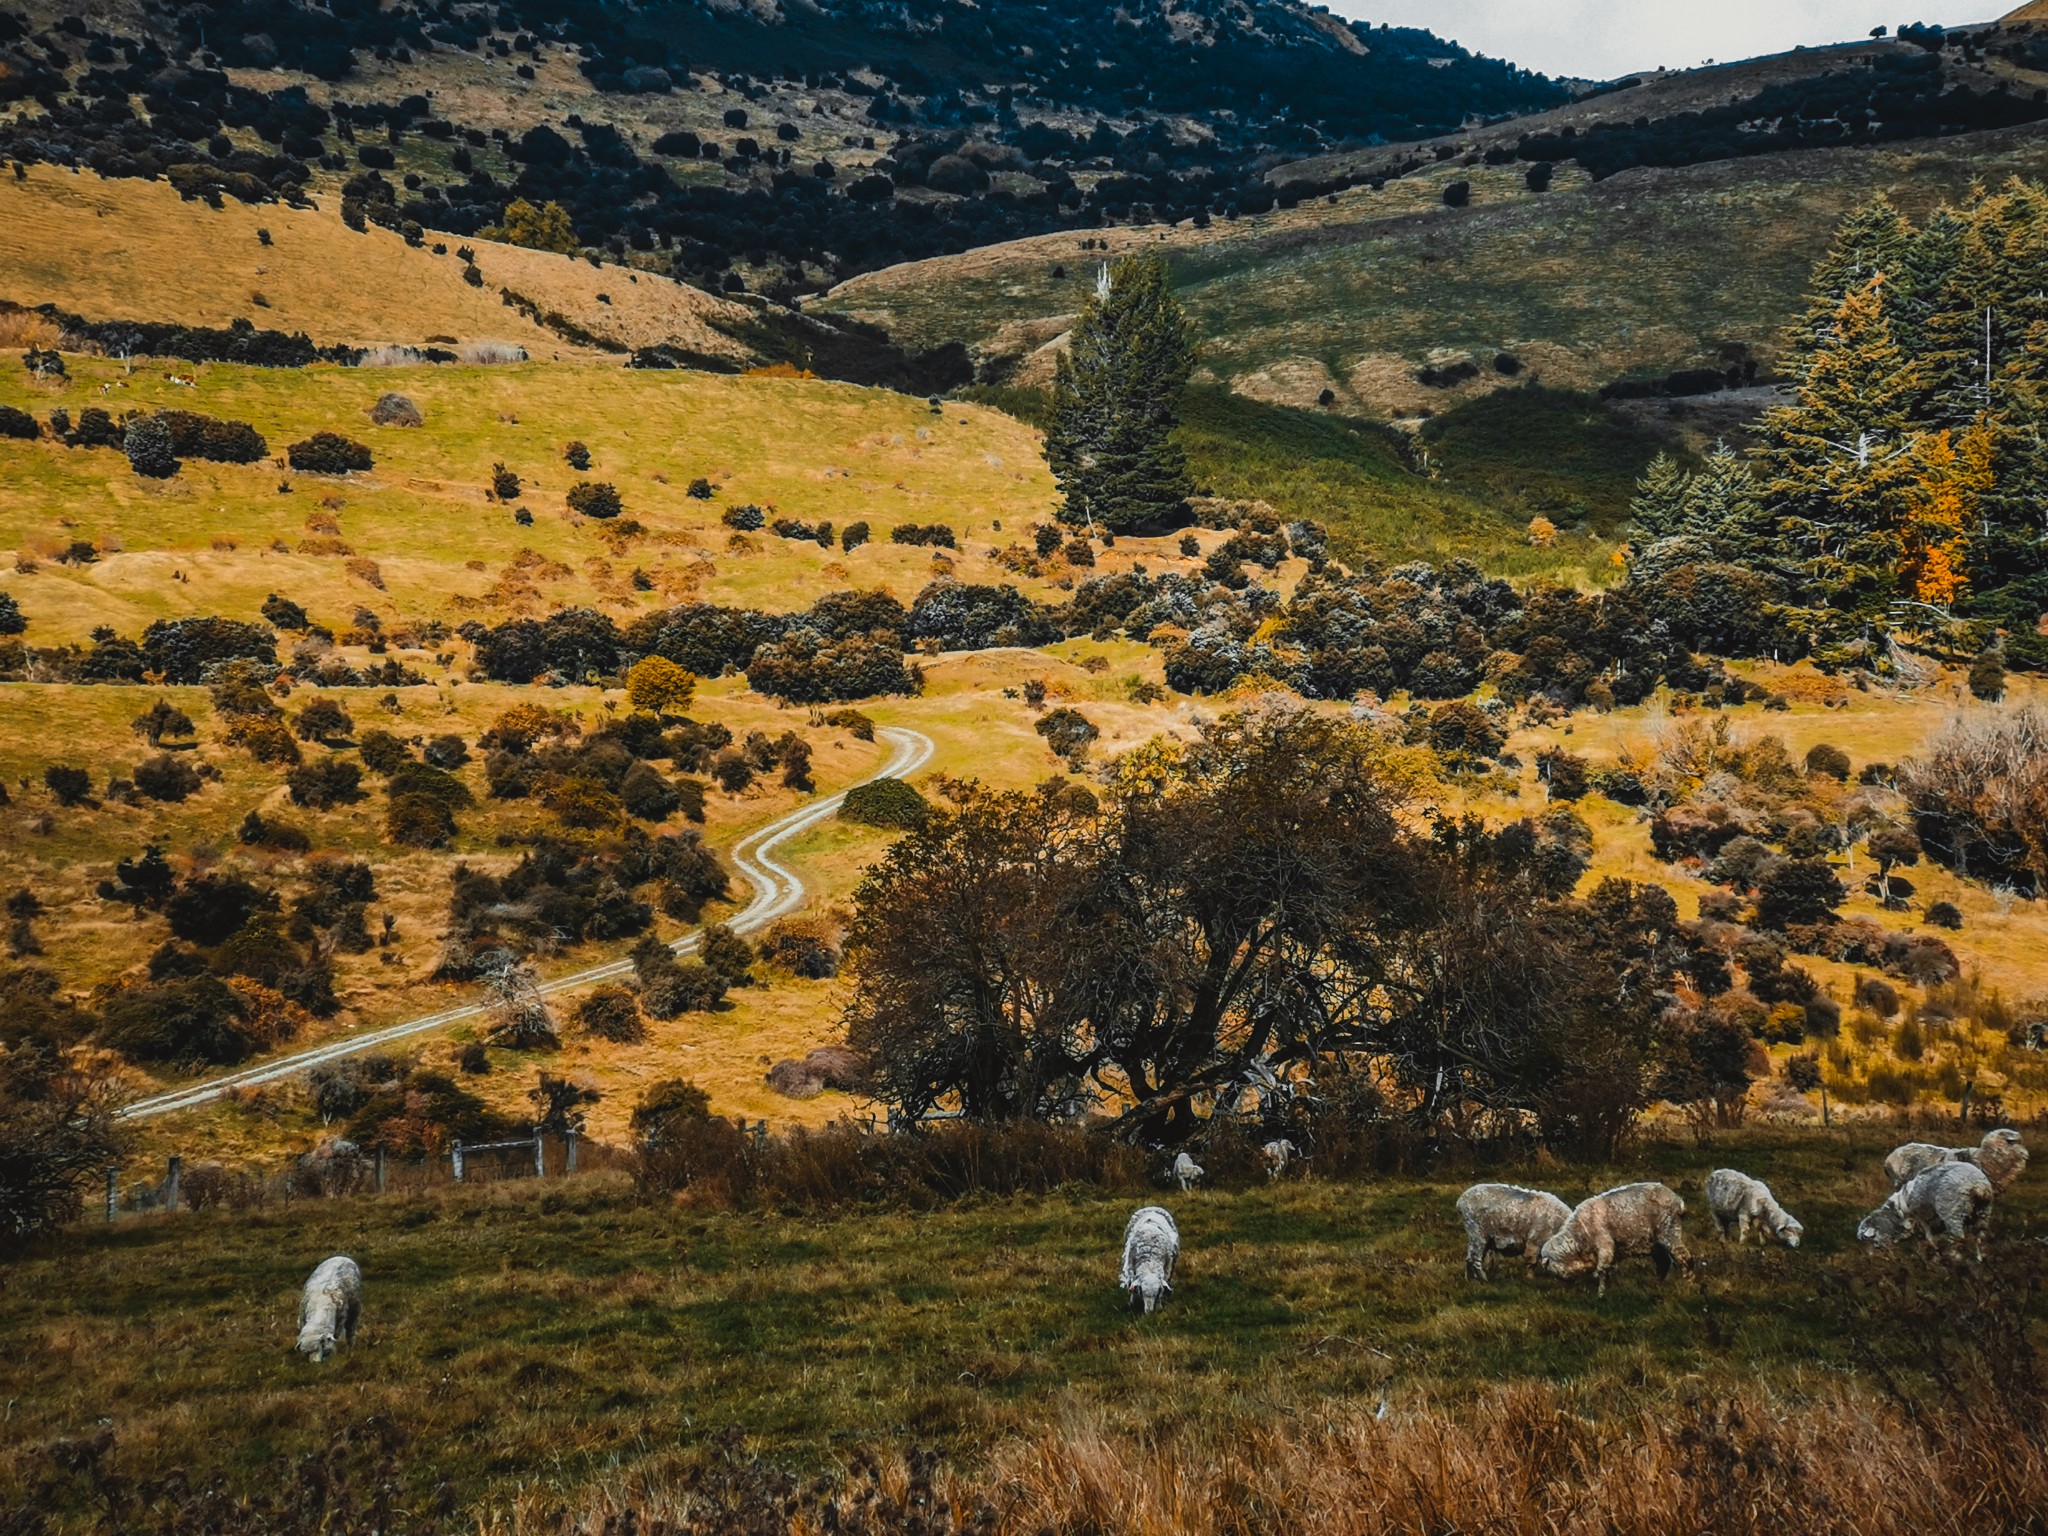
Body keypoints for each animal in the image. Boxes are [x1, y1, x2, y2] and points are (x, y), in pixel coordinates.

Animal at [1540, 1187, 1695, 1302]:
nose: (1565, 1287)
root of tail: (1678, 1201)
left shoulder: (1605, 1245)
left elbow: (1602, 1271)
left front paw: (1601, 1295)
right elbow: (1607, 1271)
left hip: (1669, 1232)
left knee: (1685, 1258)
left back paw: (1688, 1285)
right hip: (1655, 1244)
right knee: (1663, 1263)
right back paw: (1655, 1285)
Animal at [1851, 1163, 1990, 1261]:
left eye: (1871, 1238)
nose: (1876, 1250)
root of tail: (1977, 1186)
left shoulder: (1920, 1214)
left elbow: (1927, 1233)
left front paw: (1933, 1245)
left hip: (1951, 1212)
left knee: (1959, 1236)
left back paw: (1954, 1253)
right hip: (1983, 1212)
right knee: (1978, 1235)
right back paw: (1979, 1258)